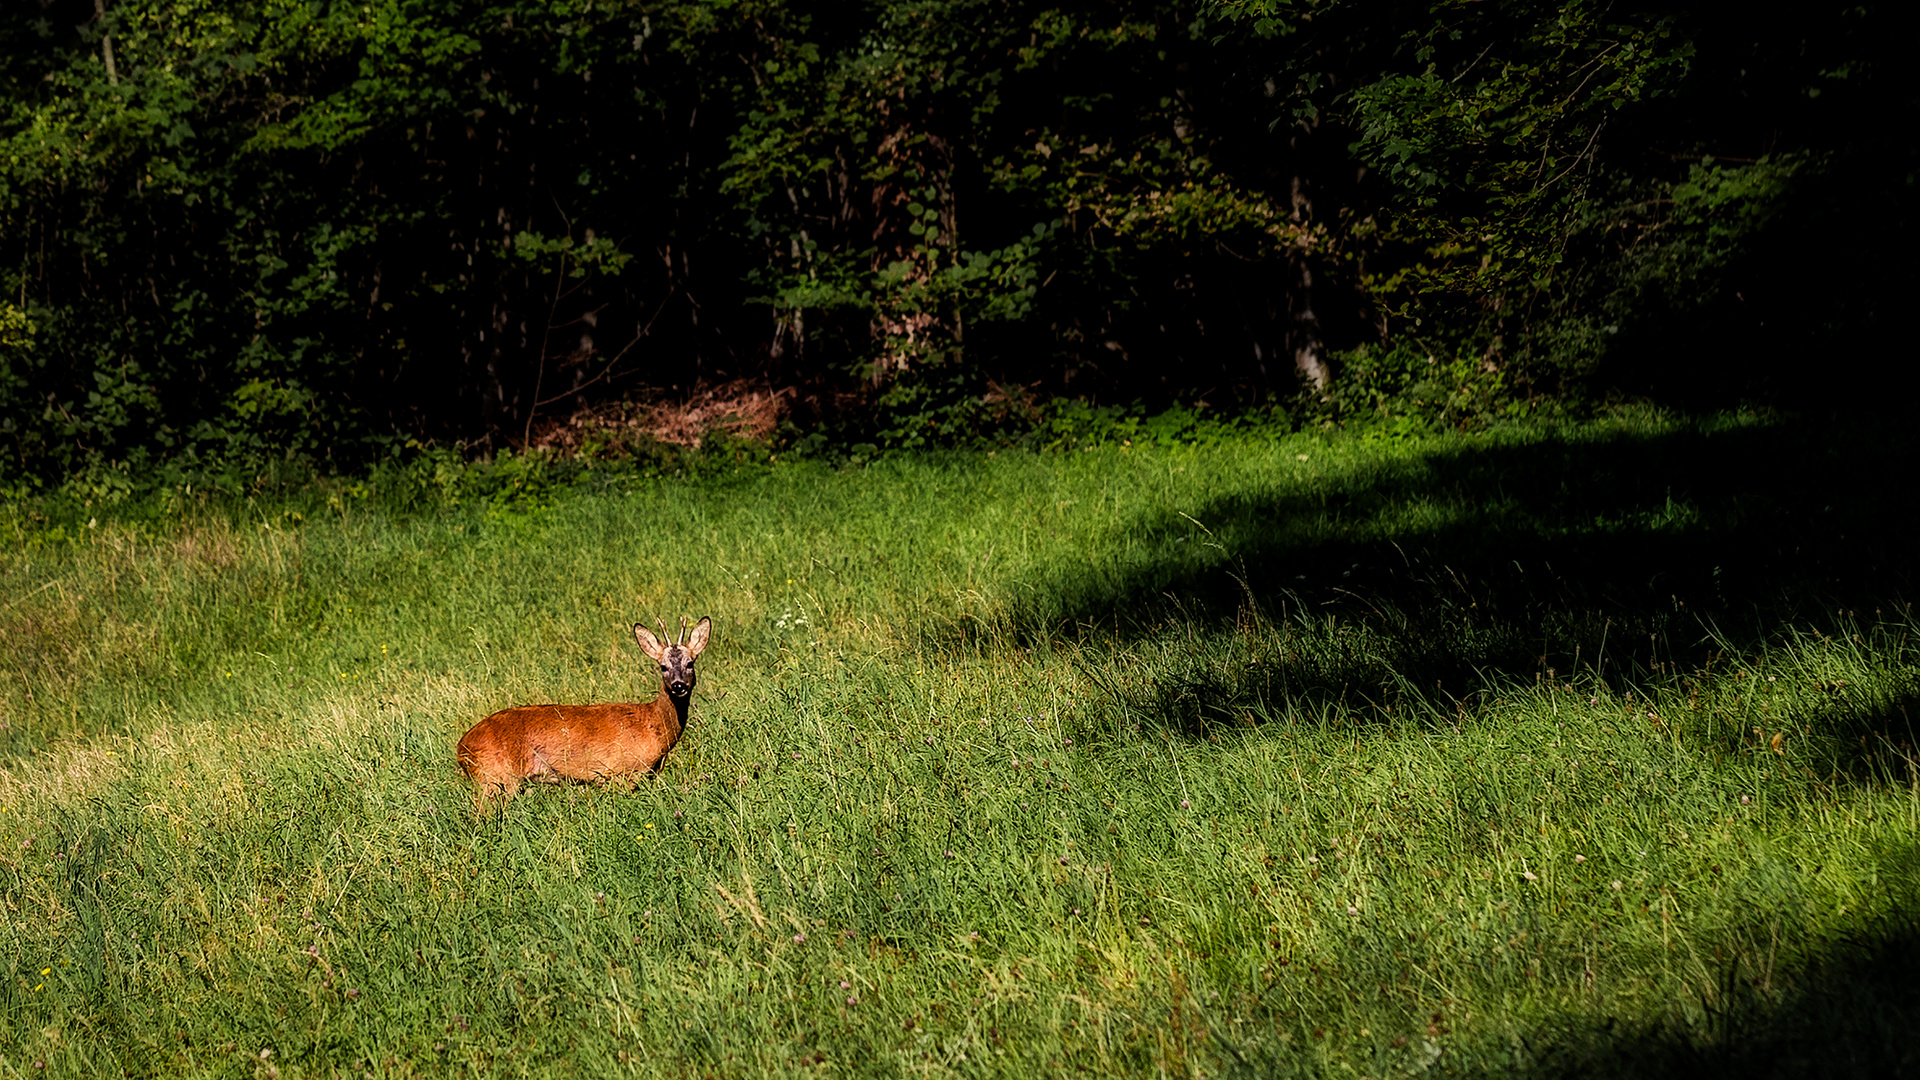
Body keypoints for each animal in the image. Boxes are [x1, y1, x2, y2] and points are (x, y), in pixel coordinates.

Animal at [456, 618, 714, 803]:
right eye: (663, 667)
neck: (652, 725)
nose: (678, 685)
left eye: (690, 663)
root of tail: (461, 747)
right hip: (495, 776)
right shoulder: (618, 773)